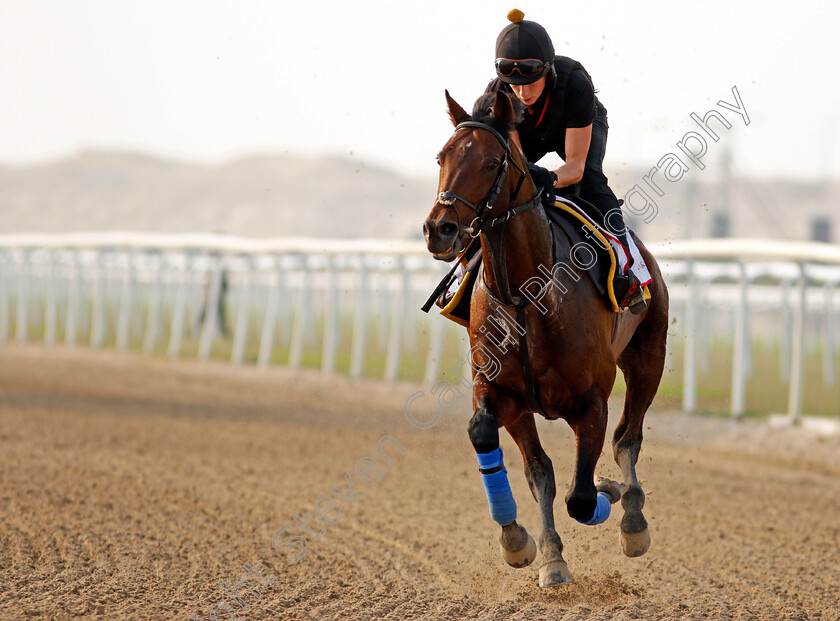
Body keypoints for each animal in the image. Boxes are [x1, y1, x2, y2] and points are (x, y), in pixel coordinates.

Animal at [424, 91, 672, 588]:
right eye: (442, 156)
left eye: (490, 162)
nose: (439, 228)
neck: (527, 295)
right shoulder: (502, 393)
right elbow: (532, 468)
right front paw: (527, 545)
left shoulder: (591, 400)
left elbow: (581, 496)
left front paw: (609, 494)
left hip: (648, 358)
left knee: (627, 438)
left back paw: (632, 516)